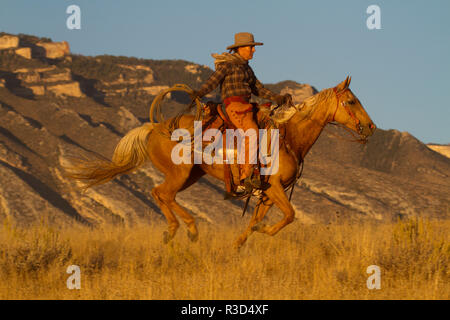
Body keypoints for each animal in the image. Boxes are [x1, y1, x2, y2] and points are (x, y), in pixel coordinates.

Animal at [66, 77, 376, 248]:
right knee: (161, 193)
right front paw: (262, 233)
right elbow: (289, 215)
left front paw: (238, 245)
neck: (290, 137)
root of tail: (154, 128)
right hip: (179, 174)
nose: (371, 127)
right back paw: (188, 228)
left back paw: (175, 230)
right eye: (351, 101)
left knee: (161, 195)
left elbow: (255, 221)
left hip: (191, 176)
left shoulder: (266, 194)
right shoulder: (275, 188)